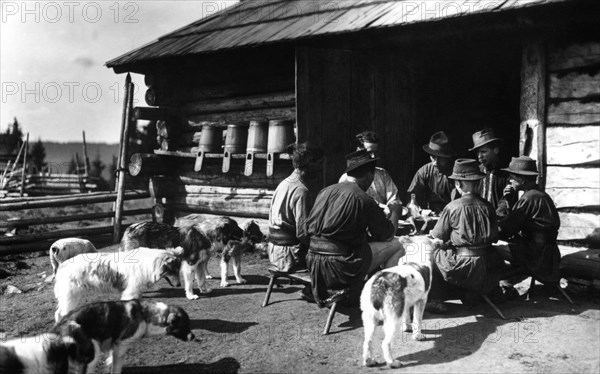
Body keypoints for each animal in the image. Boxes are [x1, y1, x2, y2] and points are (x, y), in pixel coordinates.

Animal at [51, 300, 196, 374]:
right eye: (186, 325)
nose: (194, 337)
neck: (146, 316)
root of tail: (60, 326)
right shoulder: (120, 345)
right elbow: (116, 366)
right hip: (92, 352)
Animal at [54, 247, 183, 320]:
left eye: (178, 270)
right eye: (172, 270)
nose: (179, 285)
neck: (148, 263)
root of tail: (63, 265)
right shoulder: (130, 293)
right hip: (71, 296)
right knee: (61, 313)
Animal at [358, 237, 442, 368]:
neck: (416, 257)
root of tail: (380, 281)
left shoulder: (406, 304)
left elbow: (407, 317)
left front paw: (407, 328)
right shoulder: (421, 301)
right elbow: (418, 320)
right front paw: (417, 336)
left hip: (369, 318)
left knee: (367, 341)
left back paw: (369, 361)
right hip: (393, 320)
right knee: (385, 343)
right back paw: (392, 362)